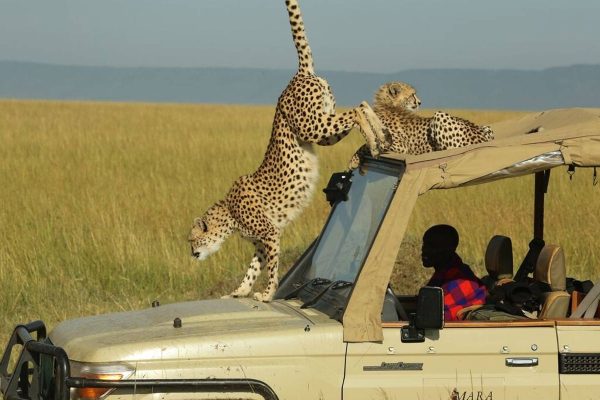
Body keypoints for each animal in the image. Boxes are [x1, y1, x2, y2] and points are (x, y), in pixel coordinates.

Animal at [188, 0, 384, 302]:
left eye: (192, 239)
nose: (191, 253)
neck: (229, 213)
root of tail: (298, 75)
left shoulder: (269, 233)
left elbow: (271, 267)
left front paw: (267, 293)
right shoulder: (261, 240)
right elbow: (253, 268)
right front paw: (239, 291)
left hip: (313, 126)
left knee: (358, 109)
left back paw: (376, 139)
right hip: (324, 127)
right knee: (361, 105)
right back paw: (380, 135)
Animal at [350, 80, 494, 170]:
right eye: (412, 95)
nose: (420, 102)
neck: (388, 105)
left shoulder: (400, 146)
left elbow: (367, 145)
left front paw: (354, 160)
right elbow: (366, 144)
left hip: (439, 115)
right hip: (487, 128)